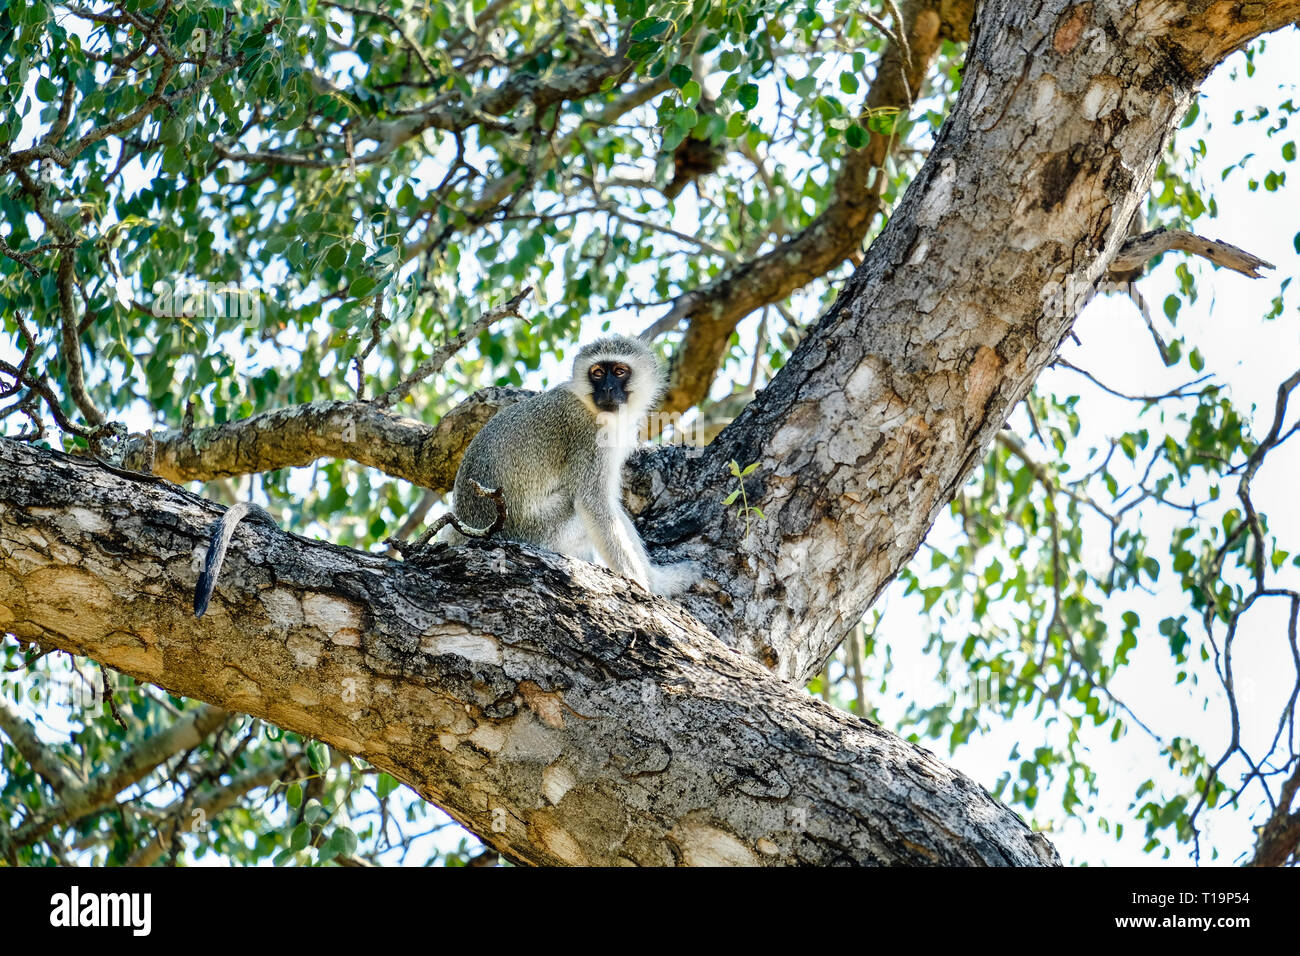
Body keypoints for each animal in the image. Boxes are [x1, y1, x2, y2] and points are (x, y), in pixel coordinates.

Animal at [444, 332, 696, 595]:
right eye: (597, 373)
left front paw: (655, 583)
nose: (607, 389)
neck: (588, 405)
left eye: (619, 371)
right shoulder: (590, 438)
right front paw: (640, 585)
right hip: (541, 532)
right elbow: (593, 504)